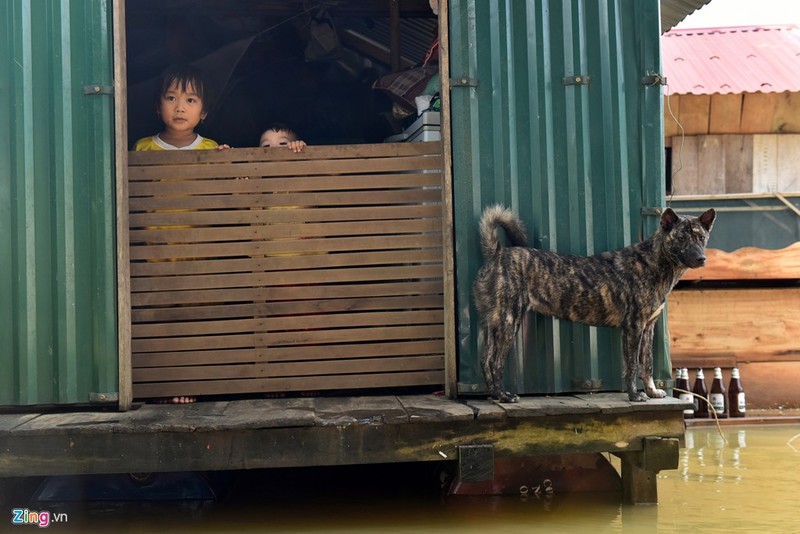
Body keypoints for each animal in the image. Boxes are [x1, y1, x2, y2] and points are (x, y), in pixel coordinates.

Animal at [472, 204, 716, 402]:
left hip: (495, 323)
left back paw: (495, 395)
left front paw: (652, 391)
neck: (653, 262)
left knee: (485, 360)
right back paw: (504, 396)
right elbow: (632, 365)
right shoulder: (633, 327)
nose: (701, 259)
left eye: (701, 238)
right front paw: (634, 396)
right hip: (508, 322)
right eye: (681, 238)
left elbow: (646, 364)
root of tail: (496, 254)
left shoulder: (647, 328)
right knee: (495, 362)